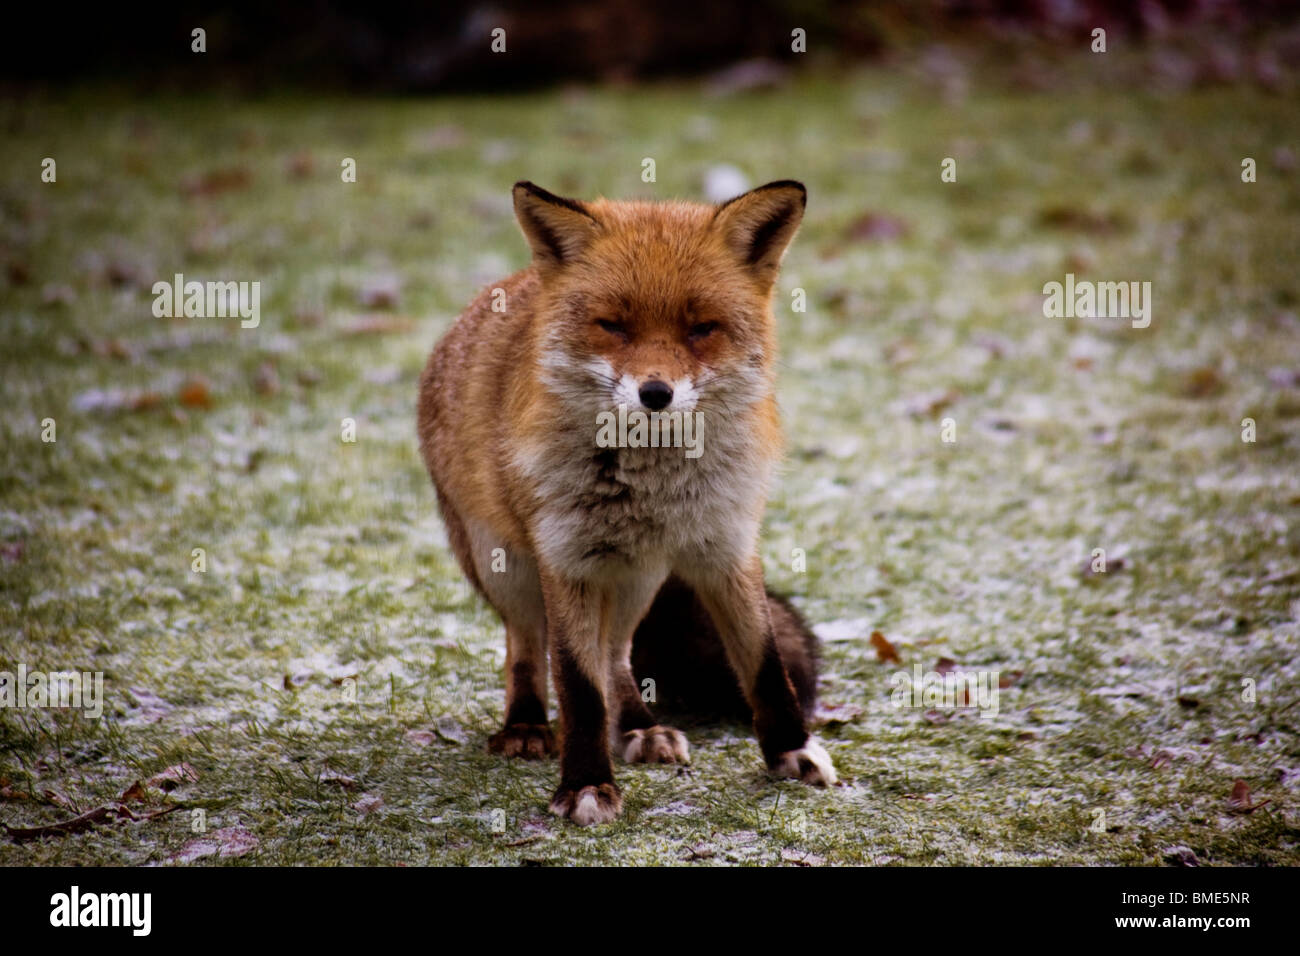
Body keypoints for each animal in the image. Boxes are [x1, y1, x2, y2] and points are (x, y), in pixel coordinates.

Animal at [416, 179, 836, 825]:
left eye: (702, 328)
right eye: (613, 326)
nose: (655, 393)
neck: (654, 489)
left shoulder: (727, 545)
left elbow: (764, 662)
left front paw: (793, 751)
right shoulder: (565, 559)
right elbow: (577, 684)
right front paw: (586, 785)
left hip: (640, 579)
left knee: (617, 657)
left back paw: (641, 726)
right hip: (507, 566)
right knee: (526, 647)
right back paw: (527, 725)